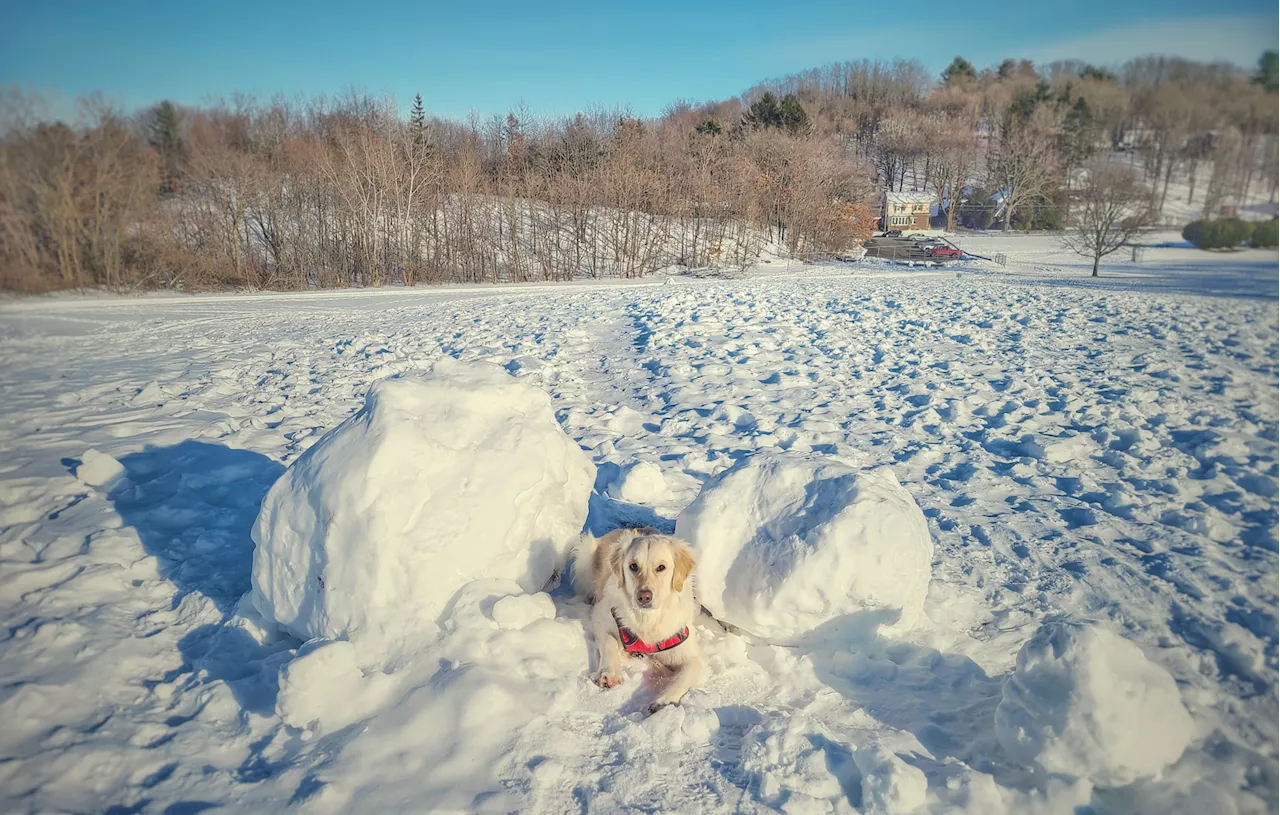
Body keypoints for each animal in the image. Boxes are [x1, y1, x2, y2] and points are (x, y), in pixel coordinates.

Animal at [573, 524, 706, 711]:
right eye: (633, 566)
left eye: (661, 567)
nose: (644, 596)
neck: (647, 620)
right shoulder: (602, 617)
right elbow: (609, 642)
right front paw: (609, 673)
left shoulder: (689, 652)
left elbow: (684, 676)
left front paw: (664, 700)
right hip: (585, 553)